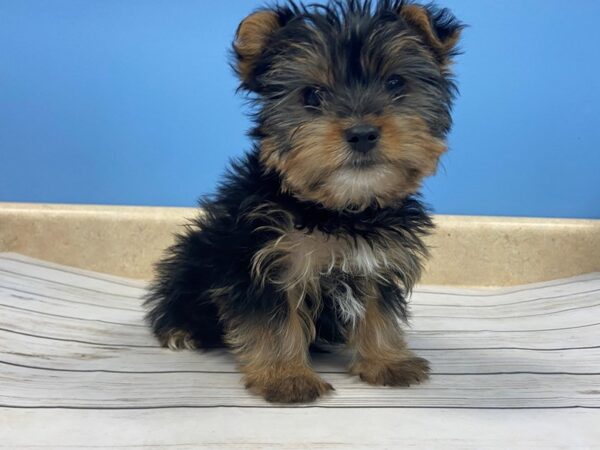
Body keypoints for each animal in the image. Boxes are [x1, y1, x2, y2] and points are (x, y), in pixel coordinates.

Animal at [143, 0, 462, 402]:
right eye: (312, 95)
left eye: (395, 84)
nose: (362, 133)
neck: (339, 208)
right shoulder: (264, 260)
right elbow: (274, 322)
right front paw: (287, 377)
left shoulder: (377, 259)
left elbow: (378, 311)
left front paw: (387, 361)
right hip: (195, 257)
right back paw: (180, 329)